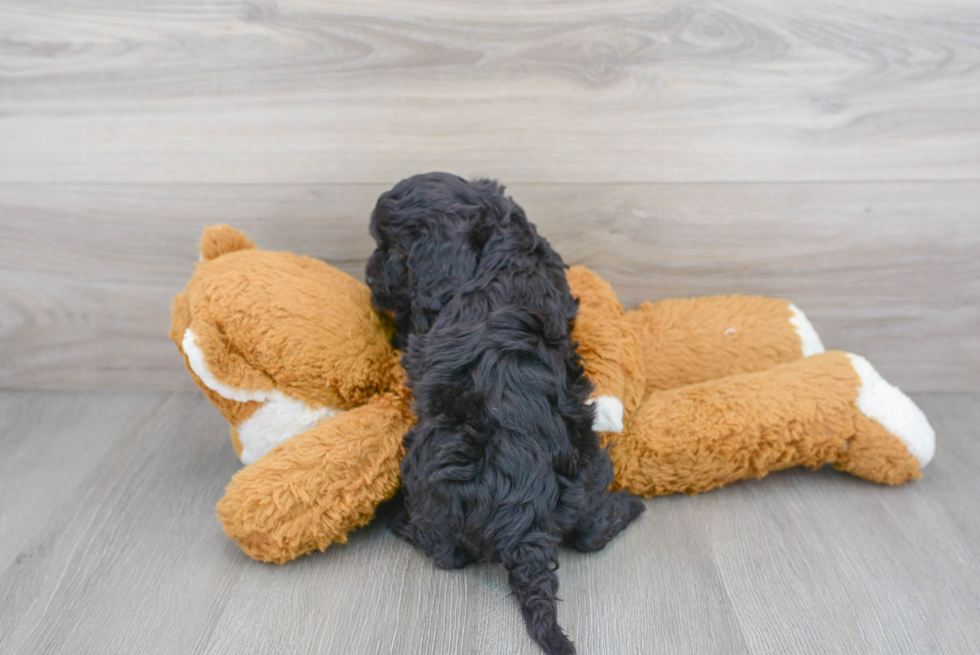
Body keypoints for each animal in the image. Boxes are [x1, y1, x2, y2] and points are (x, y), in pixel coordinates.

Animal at [366, 174, 644, 655]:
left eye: (392, 250)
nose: (366, 276)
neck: (501, 243)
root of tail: (524, 524)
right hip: (591, 462)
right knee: (590, 532)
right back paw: (630, 505)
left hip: (425, 475)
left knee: (447, 553)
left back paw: (400, 522)